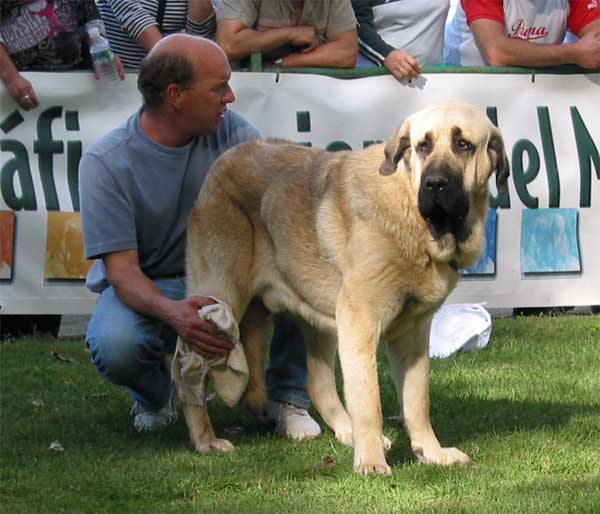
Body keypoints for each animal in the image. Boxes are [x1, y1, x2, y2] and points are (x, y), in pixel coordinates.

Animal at [182, 99, 506, 472]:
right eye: (422, 146)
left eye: (463, 145)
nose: (435, 184)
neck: (414, 215)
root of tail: (222, 162)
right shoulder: (360, 321)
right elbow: (369, 399)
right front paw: (371, 463)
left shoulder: (412, 333)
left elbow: (417, 400)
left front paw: (431, 452)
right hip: (220, 303)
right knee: (189, 369)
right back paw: (205, 439)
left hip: (317, 317)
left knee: (318, 383)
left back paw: (346, 432)